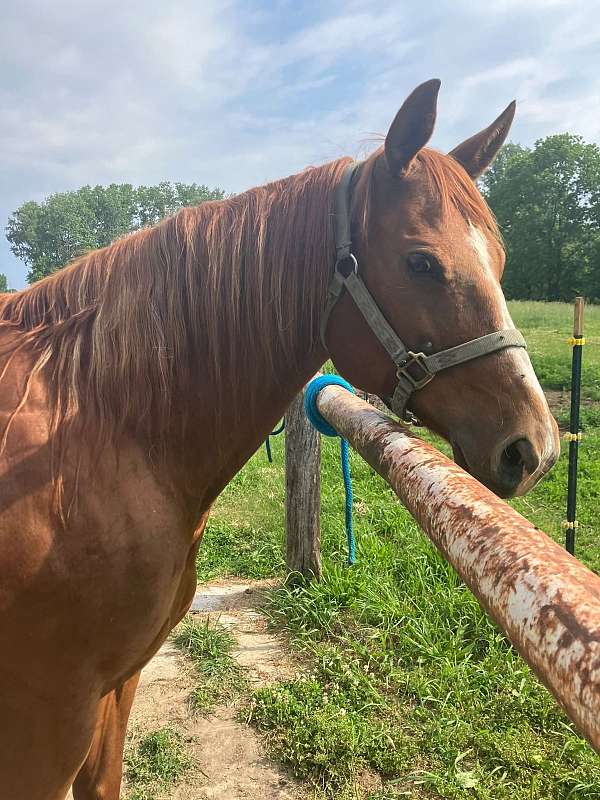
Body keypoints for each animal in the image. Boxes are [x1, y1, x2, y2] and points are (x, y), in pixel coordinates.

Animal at [0, 79, 559, 799]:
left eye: (500, 260)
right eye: (421, 262)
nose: (533, 448)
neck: (97, 428)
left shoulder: (115, 689)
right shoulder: (48, 717)